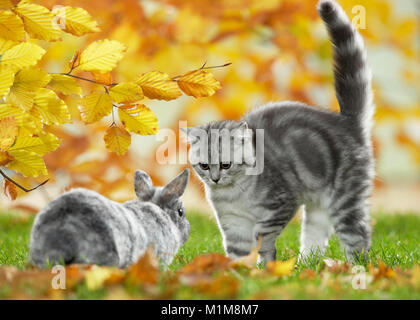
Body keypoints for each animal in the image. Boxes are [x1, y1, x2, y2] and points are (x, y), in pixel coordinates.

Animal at [182, 0, 372, 262]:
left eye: (226, 164)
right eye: (204, 165)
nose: (215, 179)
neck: (234, 196)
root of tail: (346, 120)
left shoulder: (279, 207)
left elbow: (264, 240)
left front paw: (266, 266)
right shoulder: (233, 223)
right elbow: (237, 252)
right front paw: (235, 269)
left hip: (345, 201)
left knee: (358, 237)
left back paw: (355, 268)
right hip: (318, 207)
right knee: (315, 239)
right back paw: (306, 264)